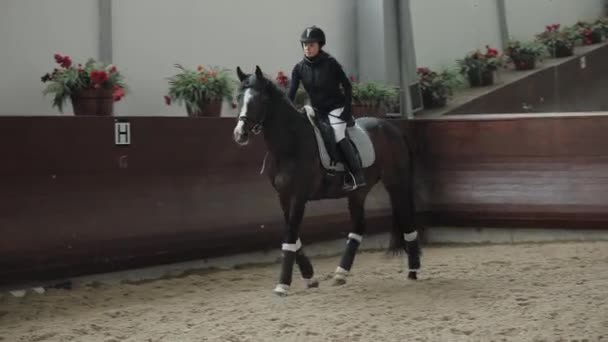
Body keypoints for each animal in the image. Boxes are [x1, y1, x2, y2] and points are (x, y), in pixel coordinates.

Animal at [230, 65, 420, 296]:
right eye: (239, 97)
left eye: (261, 99)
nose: (240, 134)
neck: (290, 144)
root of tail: (392, 127)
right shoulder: (283, 197)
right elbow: (293, 235)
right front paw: (309, 277)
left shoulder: (299, 196)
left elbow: (290, 236)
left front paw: (283, 284)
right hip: (358, 192)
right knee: (358, 227)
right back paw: (341, 273)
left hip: (396, 183)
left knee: (406, 219)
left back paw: (413, 271)